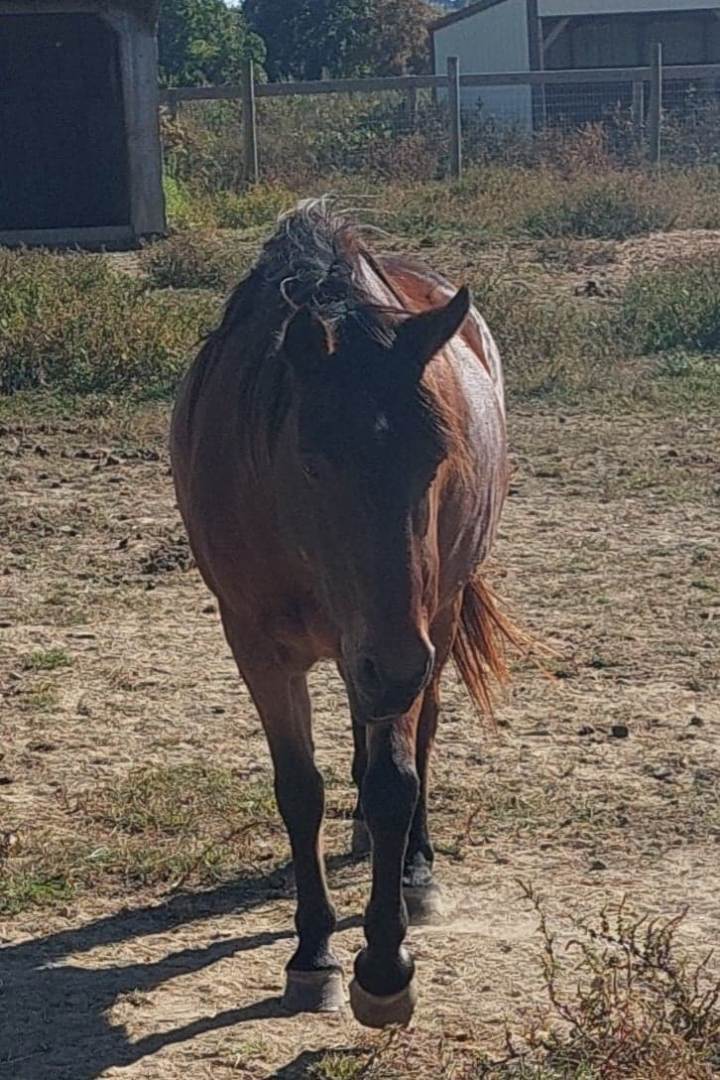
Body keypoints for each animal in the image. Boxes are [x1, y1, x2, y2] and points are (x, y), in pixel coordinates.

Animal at [170, 199, 513, 1029]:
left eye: (437, 457)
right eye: (312, 460)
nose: (395, 669)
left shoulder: (411, 633)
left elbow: (395, 781)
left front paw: (384, 967)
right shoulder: (257, 643)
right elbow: (300, 790)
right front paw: (313, 953)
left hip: (431, 624)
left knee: (419, 737)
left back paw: (416, 868)